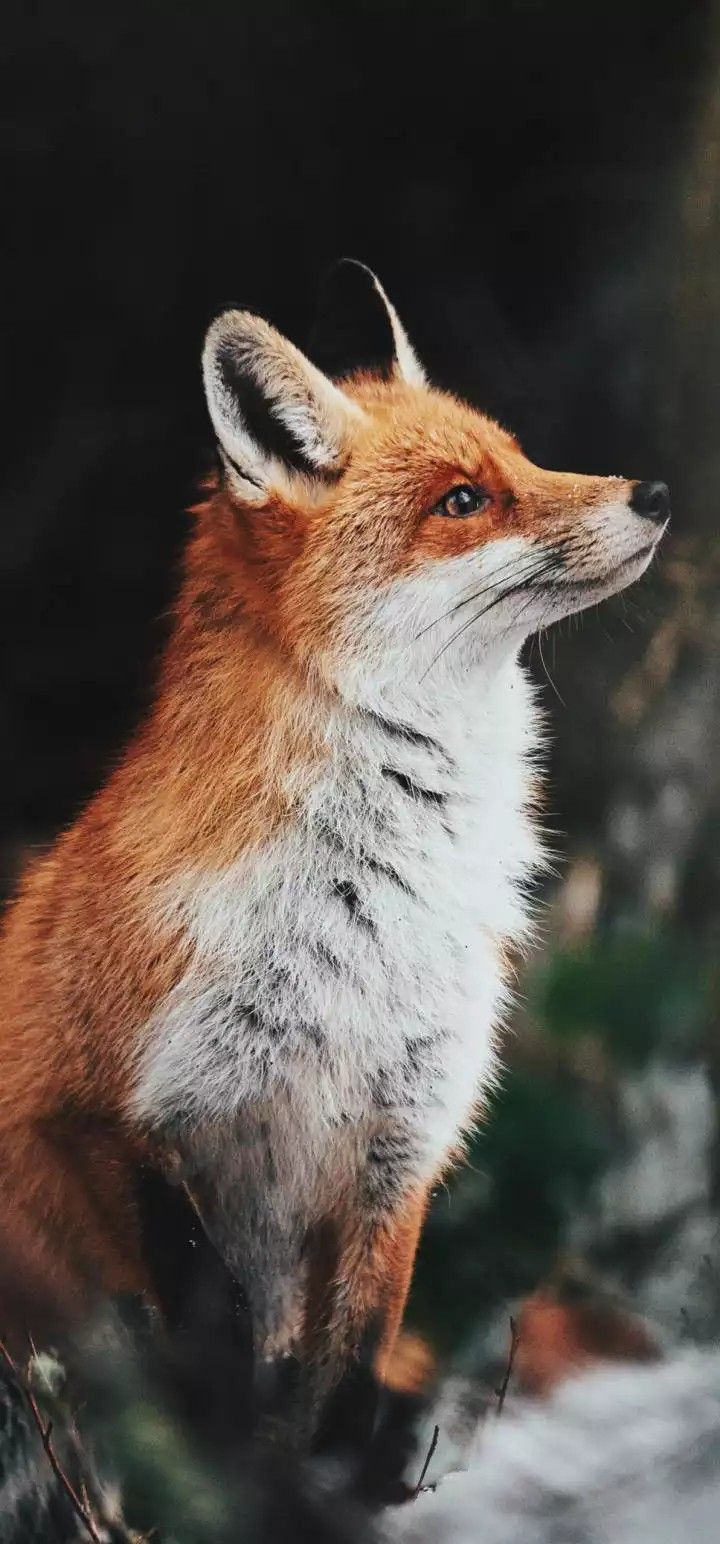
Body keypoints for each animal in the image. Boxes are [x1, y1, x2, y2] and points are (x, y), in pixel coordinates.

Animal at [0, 261, 669, 1440]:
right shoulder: (97, 1117)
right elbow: (215, 1353)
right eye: (462, 499)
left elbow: (347, 1381)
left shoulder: (402, 1147)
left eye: (523, 458)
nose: (655, 494)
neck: (367, 915)